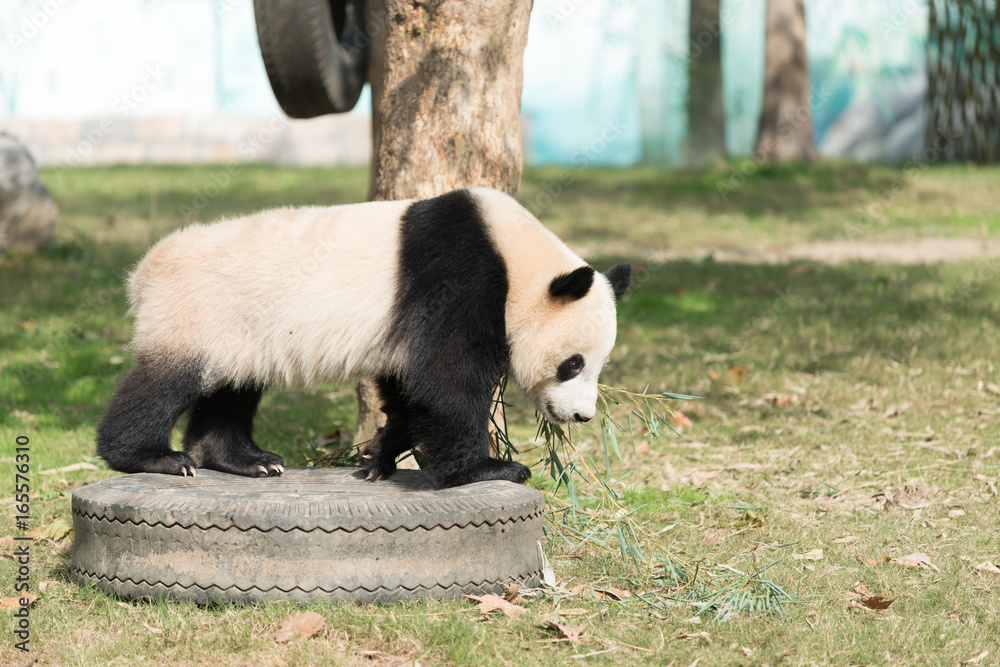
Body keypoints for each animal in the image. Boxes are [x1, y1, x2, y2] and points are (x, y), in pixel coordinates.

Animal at [96, 187, 631, 488]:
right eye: (574, 363)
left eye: (599, 365)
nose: (582, 416)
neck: (516, 256)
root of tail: (145, 271)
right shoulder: (460, 277)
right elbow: (448, 380)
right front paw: (489, 470)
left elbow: (408, 385)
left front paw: (378, 457)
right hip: (195, 312)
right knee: (162, 383)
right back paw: (151, 457)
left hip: (238, 333)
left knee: (232, 389)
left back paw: (244, 460)